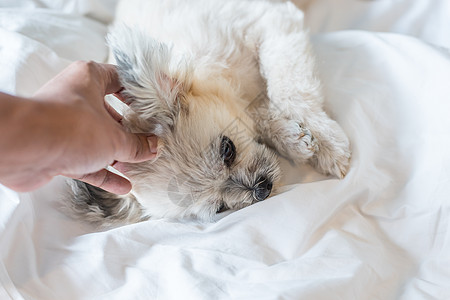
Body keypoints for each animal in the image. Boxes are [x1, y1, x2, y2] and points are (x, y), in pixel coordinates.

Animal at [67, 0, 352, 225]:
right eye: (220, 208)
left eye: (228, 150)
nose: (260, 189)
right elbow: (262, 115)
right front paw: (293, 138)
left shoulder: (272, 24)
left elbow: (290, 91)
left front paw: (326, 143)